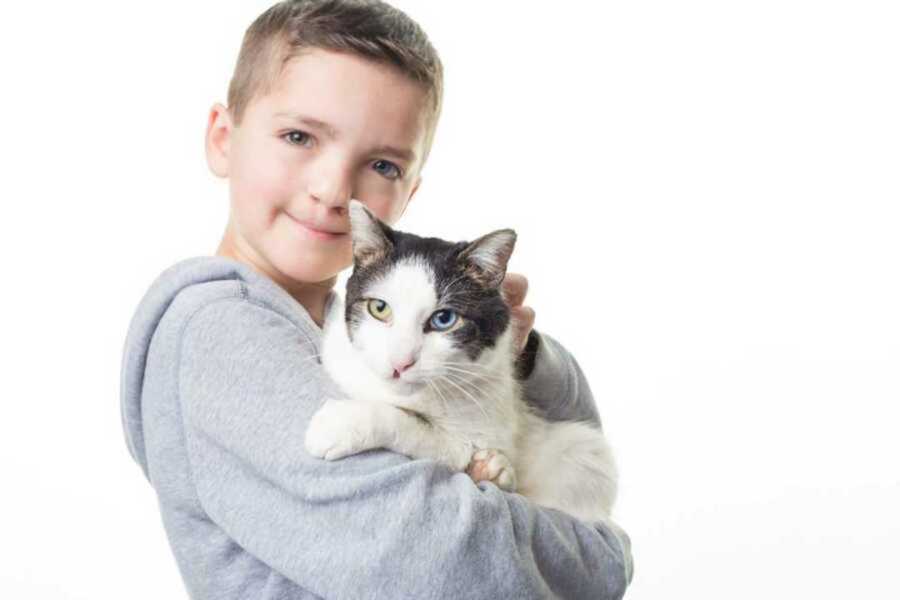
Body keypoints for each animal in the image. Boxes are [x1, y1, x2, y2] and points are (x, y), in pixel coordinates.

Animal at [304, 199, 620, 524]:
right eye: (379, 308)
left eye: (444, 319)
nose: (401, 362)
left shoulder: (481, 428)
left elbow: (417, 428)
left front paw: (343, 423)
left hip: (584, 454)